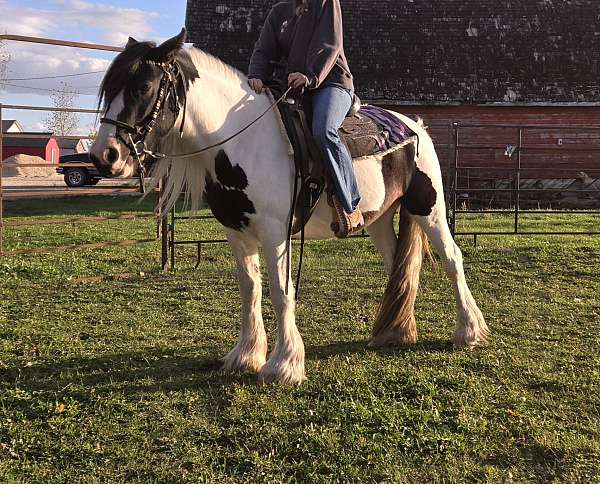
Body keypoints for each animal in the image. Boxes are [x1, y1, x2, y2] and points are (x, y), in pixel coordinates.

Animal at [91, 31, 490, 386]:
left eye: (143, 87)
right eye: (109, 88)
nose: (104, 156)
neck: (244, 142)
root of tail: (414, 127)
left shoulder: (275, 233)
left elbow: (281, 294)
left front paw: (284, 365)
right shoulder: (237, 233)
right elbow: (250, 289)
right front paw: (246, 355)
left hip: (429, 208)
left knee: (453, 259)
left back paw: (469, 331)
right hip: (379, 219)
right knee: (399, 266)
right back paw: (396, 332)